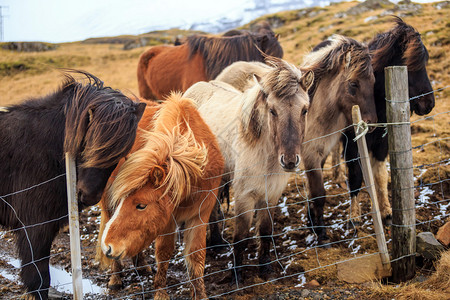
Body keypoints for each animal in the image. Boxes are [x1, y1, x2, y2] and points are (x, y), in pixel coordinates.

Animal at [98, 94, 225, 300]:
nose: (108, 247)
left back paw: (141, 266)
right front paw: (160, 293)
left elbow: (196, 255)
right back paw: (115, 279)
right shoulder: (167, 222)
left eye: (141, 205)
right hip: (107, 205)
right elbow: (163, 254)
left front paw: (200, 294)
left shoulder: (200, 215)